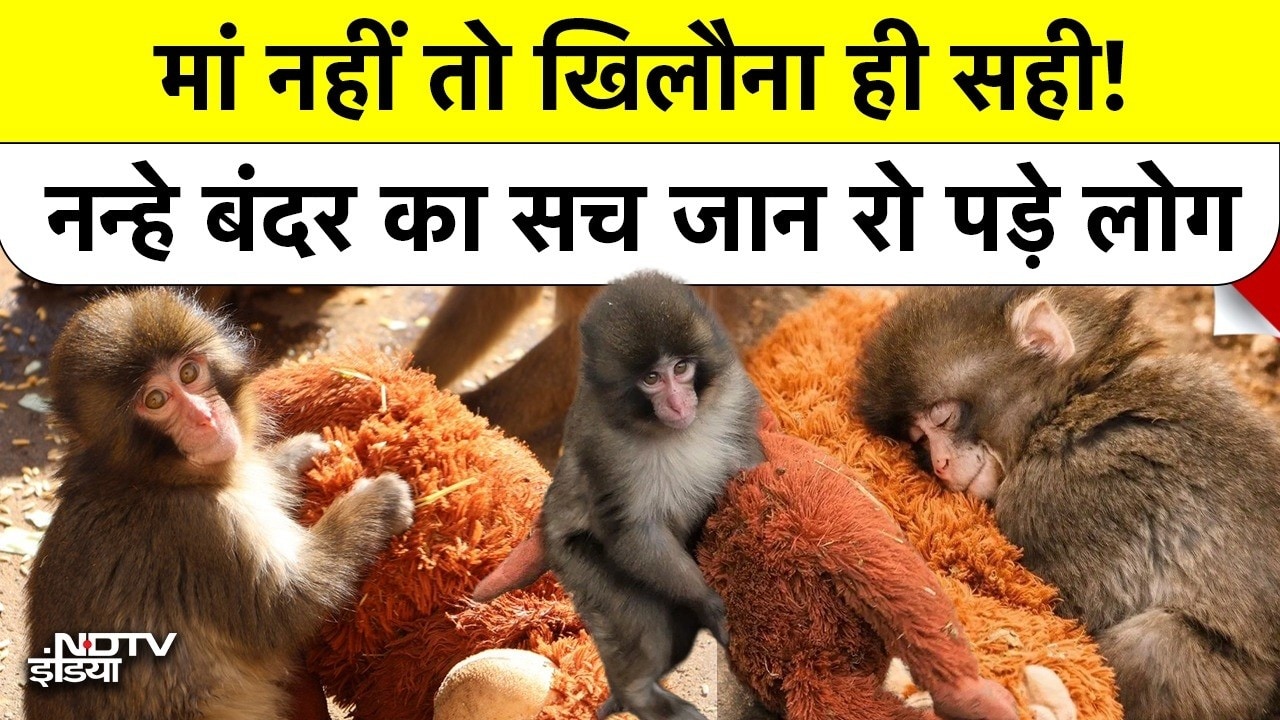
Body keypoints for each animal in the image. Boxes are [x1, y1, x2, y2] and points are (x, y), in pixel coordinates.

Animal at [25, 288, 416, 720]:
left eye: (188, 374)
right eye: (156, 399)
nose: (204, 418)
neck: (147, 479)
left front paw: (292, 456)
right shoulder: (199, 528)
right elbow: (287, 606)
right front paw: (376, 503)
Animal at [539, 271, 765, 720]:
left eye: (680, 368)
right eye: (651, 379)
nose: (678, 403)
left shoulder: (734, 395)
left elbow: (749, 462)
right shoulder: (604, 447)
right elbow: (632, 533)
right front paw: (709, 602)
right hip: (575, 562)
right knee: (644, 622)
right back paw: (638, 693)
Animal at [855, 286, 1280, 720]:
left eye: (942, 419)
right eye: (920, 440)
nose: (940, 464)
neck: (1070, 405)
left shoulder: (1051, 493)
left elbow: (1060, 615)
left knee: (1149, 647)